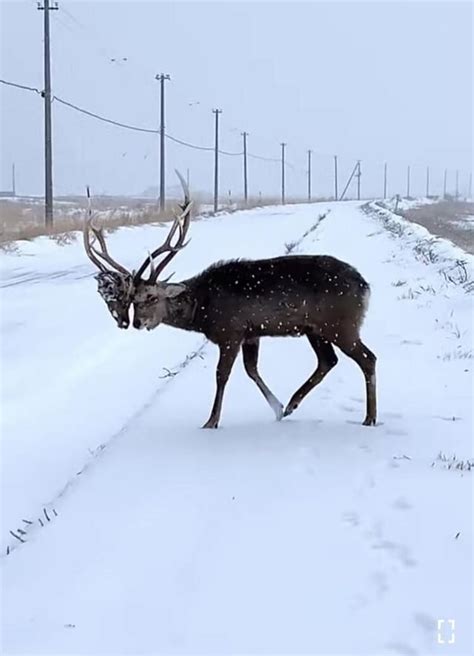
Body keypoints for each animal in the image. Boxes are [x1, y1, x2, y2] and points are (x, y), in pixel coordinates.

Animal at [83, 173, 376, 430]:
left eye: (152, 296)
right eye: (132, 299)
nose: (137, 323)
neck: (203, 309)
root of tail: (365, 286)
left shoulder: (230, 331)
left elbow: (222, 375)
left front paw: (211, 421)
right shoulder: (251, 333)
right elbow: (251, 369)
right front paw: (278, 407)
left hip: (341, 323)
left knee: (367, 358)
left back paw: (369, 418)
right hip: (315, 329)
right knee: (328, 361)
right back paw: (294, 403)